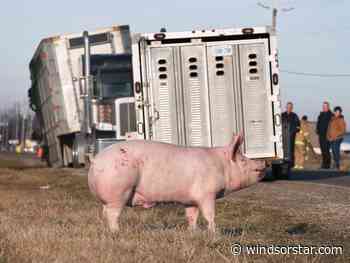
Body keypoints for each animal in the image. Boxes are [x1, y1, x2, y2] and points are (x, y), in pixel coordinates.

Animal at [87, 134, 266, 233]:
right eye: (243, 160)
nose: (264, 162)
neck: (221, 166)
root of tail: (95, 160)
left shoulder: (191, 200)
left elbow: (192, 216)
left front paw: (192, 232)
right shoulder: (206, 193)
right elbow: (209, 215)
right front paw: (215, 233)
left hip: (109, 198)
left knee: (104, 213)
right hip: (119, 192)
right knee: (113, 214)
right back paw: (117, 232)